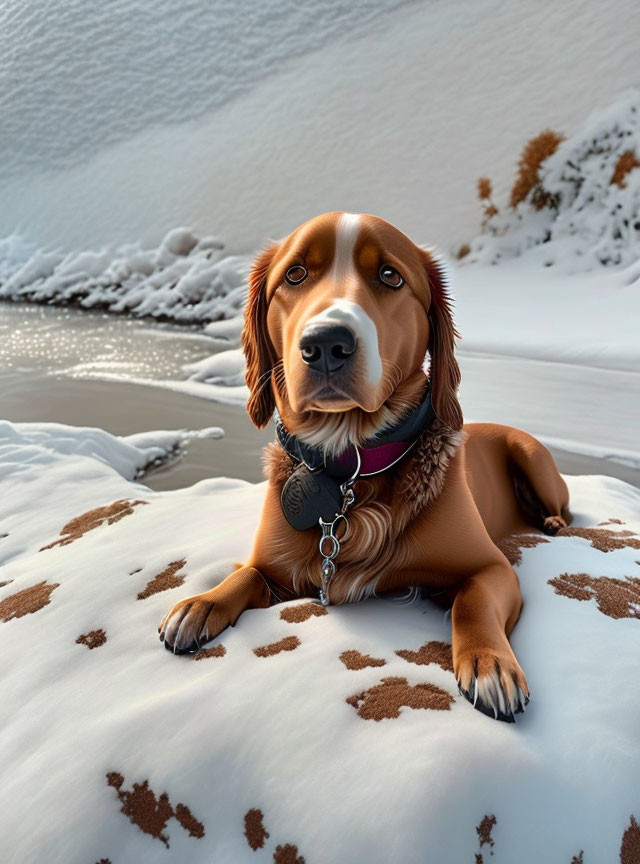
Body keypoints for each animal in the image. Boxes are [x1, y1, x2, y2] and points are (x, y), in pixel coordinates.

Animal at [158, 214, 568, 724]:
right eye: (295, 274)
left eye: (390, 276)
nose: (325, 343)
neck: (349, 464)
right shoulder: (275, 567)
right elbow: (245, 574)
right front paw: (201, 603)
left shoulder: (492, 567)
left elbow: (473, 602)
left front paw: (491, 664)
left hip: (532, 457)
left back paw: (552, 522)